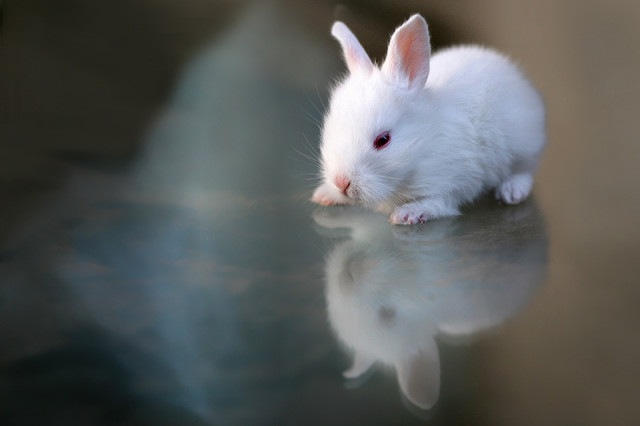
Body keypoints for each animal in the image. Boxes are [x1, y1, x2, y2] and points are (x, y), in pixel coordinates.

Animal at [310, 14, 546, 225]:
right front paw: (324, 194)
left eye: (383, 140)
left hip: (523, 145)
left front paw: (407, 214)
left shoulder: (454, 182)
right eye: (331, 130)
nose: (341, 182)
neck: (421, 147)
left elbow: (437, 203)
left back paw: (511, 192)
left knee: (525, 170)